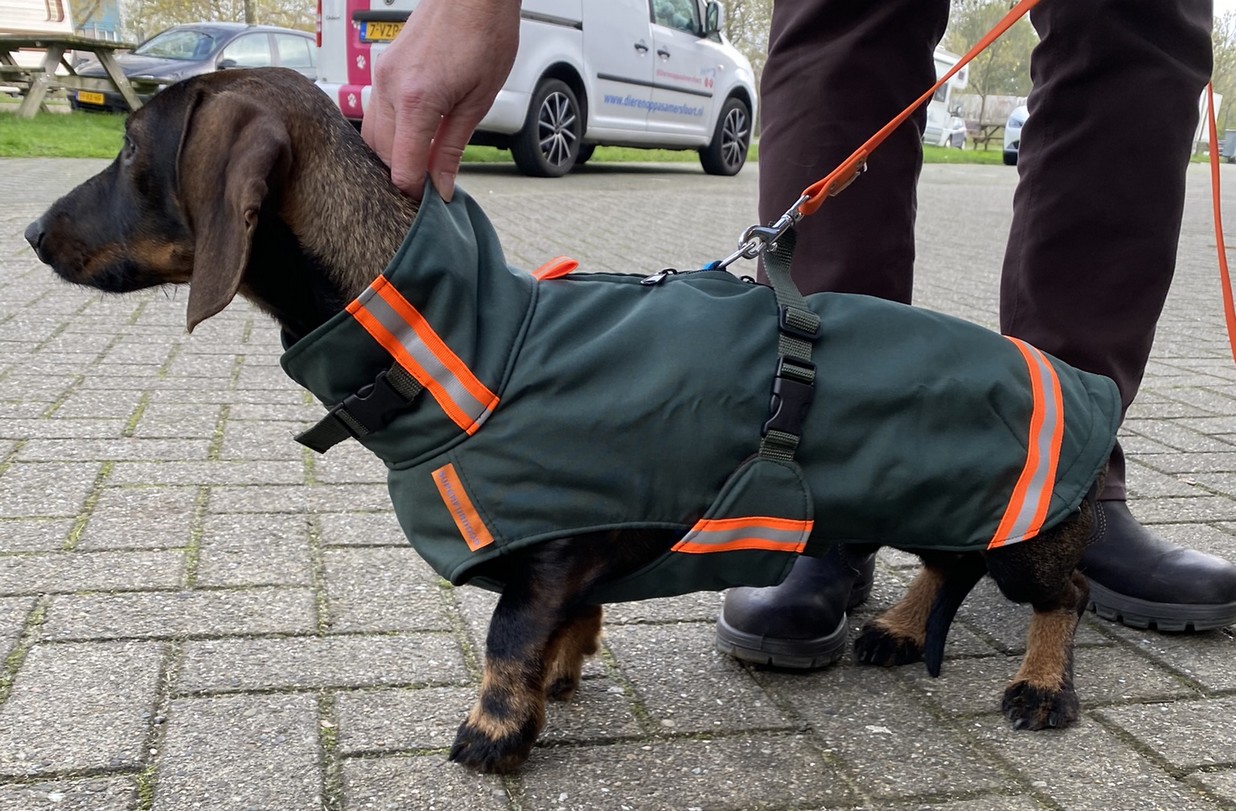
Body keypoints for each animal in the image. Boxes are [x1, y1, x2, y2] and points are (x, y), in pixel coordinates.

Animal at [26, 67, 1112, 771]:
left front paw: (495, 731)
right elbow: (564, 624)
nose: (33, 232)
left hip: (1026, 523)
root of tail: (1085, 385)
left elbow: (511, 637)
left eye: (129, 152)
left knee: (1061, 597)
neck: (472, 338)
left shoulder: (548, 545)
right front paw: (554, 684)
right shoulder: (576, 543)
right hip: (945, 494)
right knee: (943, 564)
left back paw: (1042, 686)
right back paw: (897, 626)